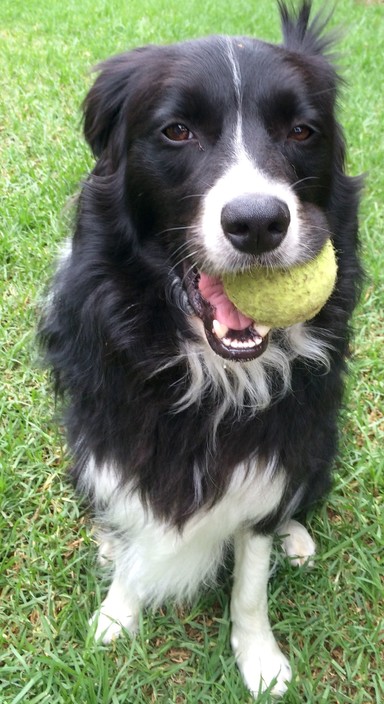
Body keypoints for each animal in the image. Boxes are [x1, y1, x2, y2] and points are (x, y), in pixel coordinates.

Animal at [39, 1, 364, 700]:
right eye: (177, 131)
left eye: (302, 130)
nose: (258, 223)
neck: (212, 366)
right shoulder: (114, 429)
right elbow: (133, 520)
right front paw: (118, 615)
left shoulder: (280, 443)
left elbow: (250, 578)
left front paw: (258, 658)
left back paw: (297, 537)